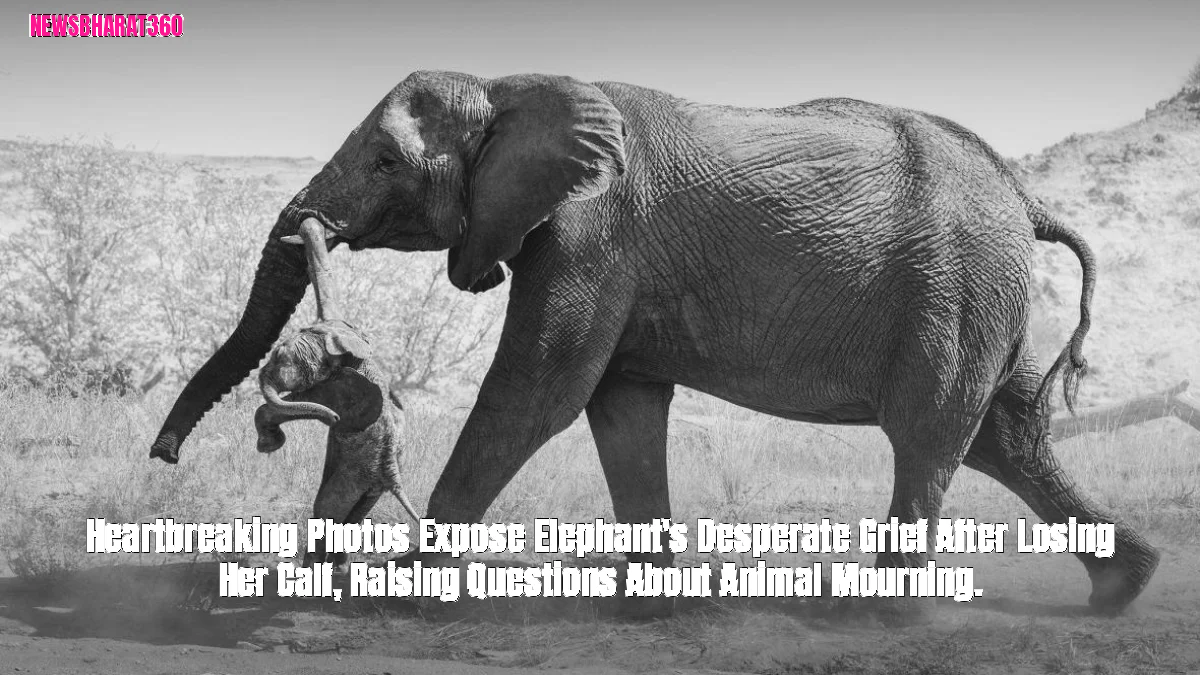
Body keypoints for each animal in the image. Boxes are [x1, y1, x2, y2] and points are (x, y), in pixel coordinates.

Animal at [149, 70, 1160, 622]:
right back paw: (1125, 586)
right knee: (1004, 438)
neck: (514, 86)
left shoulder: (591, 232)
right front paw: (649, 611)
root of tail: (1024, 195)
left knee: (930, 441)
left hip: (954, 289)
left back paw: (882, 621)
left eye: (388, 161)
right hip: (985, 297)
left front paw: (405, 592)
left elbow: (537, 393)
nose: (162, 455)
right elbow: (620, 408)